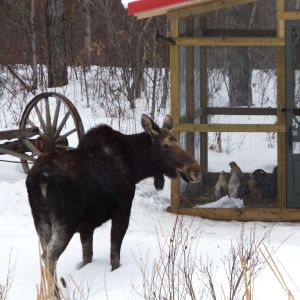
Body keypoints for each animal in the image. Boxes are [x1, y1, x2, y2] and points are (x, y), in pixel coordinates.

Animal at [25, 113, 199, 276]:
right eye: (166, 146)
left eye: (179, 142)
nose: (195, 170)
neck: (135, 165)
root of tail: (38, 178)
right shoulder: (122, 210)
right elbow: (115, 256)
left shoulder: (87, 225)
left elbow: (87, 256)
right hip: (65, 223)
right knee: (49, 256)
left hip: (41, 221)